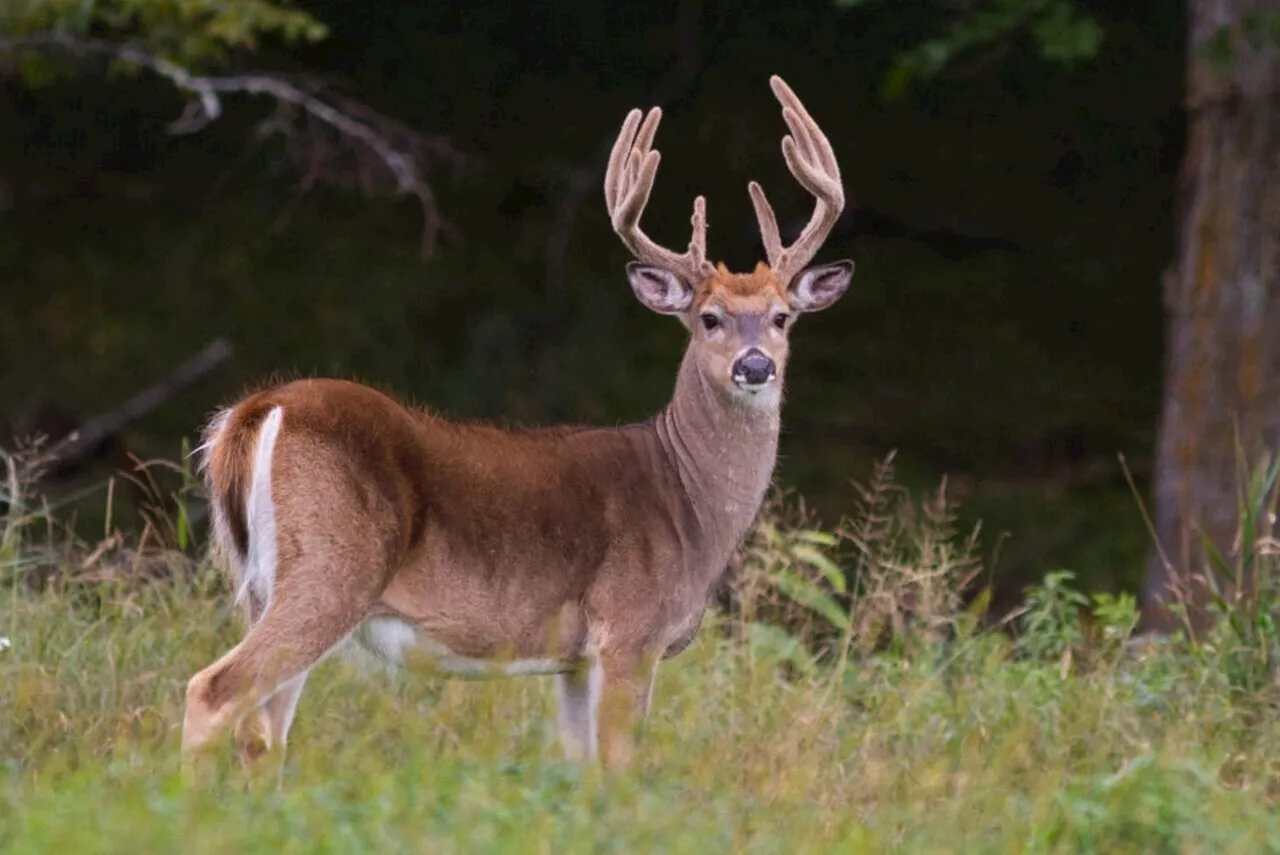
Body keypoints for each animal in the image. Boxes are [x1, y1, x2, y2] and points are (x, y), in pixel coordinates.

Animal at [180, 75, 855, 767]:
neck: (688, 502)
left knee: (261, 732)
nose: (755, 366)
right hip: (331, 568)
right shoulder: (629, 631)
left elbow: (580, 770)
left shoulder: (574, 660)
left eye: (782, 317)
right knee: (214, 691)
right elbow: (621, 769)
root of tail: (258, 409)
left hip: (263, 585)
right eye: (709, 318)